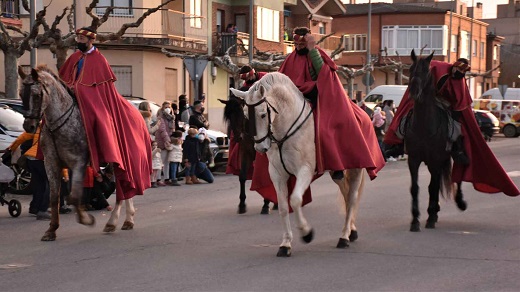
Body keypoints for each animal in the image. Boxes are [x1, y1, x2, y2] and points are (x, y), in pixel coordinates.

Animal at [230, 72, 368, 256]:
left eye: (263, 114)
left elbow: (295, 200)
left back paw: (344, 236)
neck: (285, 132)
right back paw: (351, 230)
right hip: (337, 173)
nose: (260, 147)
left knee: (352, 197)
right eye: (245, 115)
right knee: (346, 194)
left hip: (355, 169)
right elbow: (282, 207)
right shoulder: (277, 174)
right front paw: (285, 244)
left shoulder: (305, 171)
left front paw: (306, 233)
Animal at [406, 50, 468, 232]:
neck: (423, 127)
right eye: (410, 69)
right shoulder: (413, 159)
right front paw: (415, 220)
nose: (414, 91)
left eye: (426, 72)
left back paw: (457, 203)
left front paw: (430, 218)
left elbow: (432, 187)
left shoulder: (435, 160)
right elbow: (415, 188)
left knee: (457, 176)